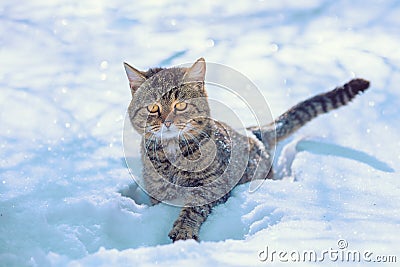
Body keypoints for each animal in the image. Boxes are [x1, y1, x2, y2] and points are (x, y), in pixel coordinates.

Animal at [123, 58, 370, 243]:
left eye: (180, 105)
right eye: (153, 107)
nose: (167, 122)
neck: (173, 151)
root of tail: (253, 131)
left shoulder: (213, 186)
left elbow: (194, 207)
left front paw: (184, 229)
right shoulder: (157, 193)